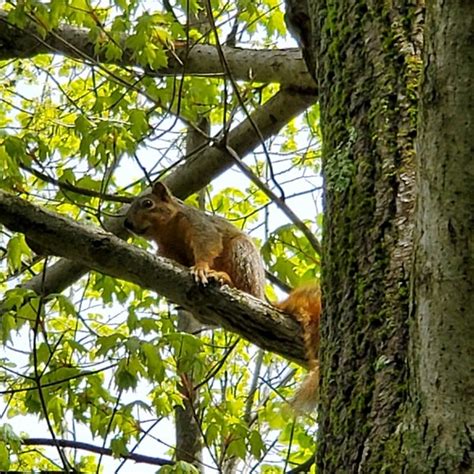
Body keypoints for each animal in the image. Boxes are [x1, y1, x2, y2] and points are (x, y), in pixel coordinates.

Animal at [124, 181, 320, 412]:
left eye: (147, 203)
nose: (127, 223)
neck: (167, 231)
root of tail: (261, 296)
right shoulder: (167, 250)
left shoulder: (201, 227)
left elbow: (208, 246)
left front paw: (200, 268)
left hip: (241, 253)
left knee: (243, 288)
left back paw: (223, 278)